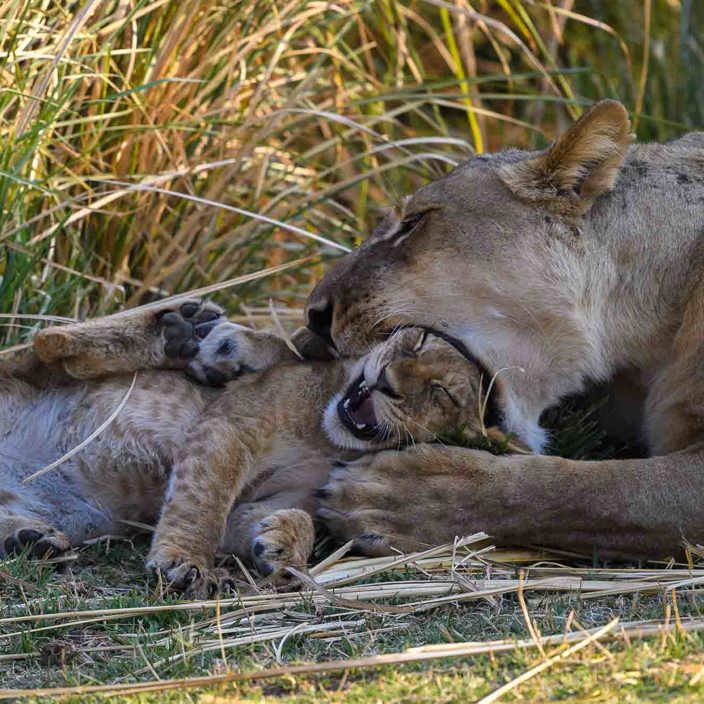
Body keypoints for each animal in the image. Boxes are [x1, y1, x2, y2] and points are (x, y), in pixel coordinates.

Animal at [0, 303, 488, 596]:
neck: (324, 436)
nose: (388, 382)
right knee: (47, 345)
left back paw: (31, 538)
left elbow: (281, 518)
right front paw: (183, 563)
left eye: (442, 393)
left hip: (76, 516)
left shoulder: (288, 493)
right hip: (32, 368)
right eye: (415, 341)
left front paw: (281, 546)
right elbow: (203, 501)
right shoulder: (230, 427)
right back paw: (180, 330)